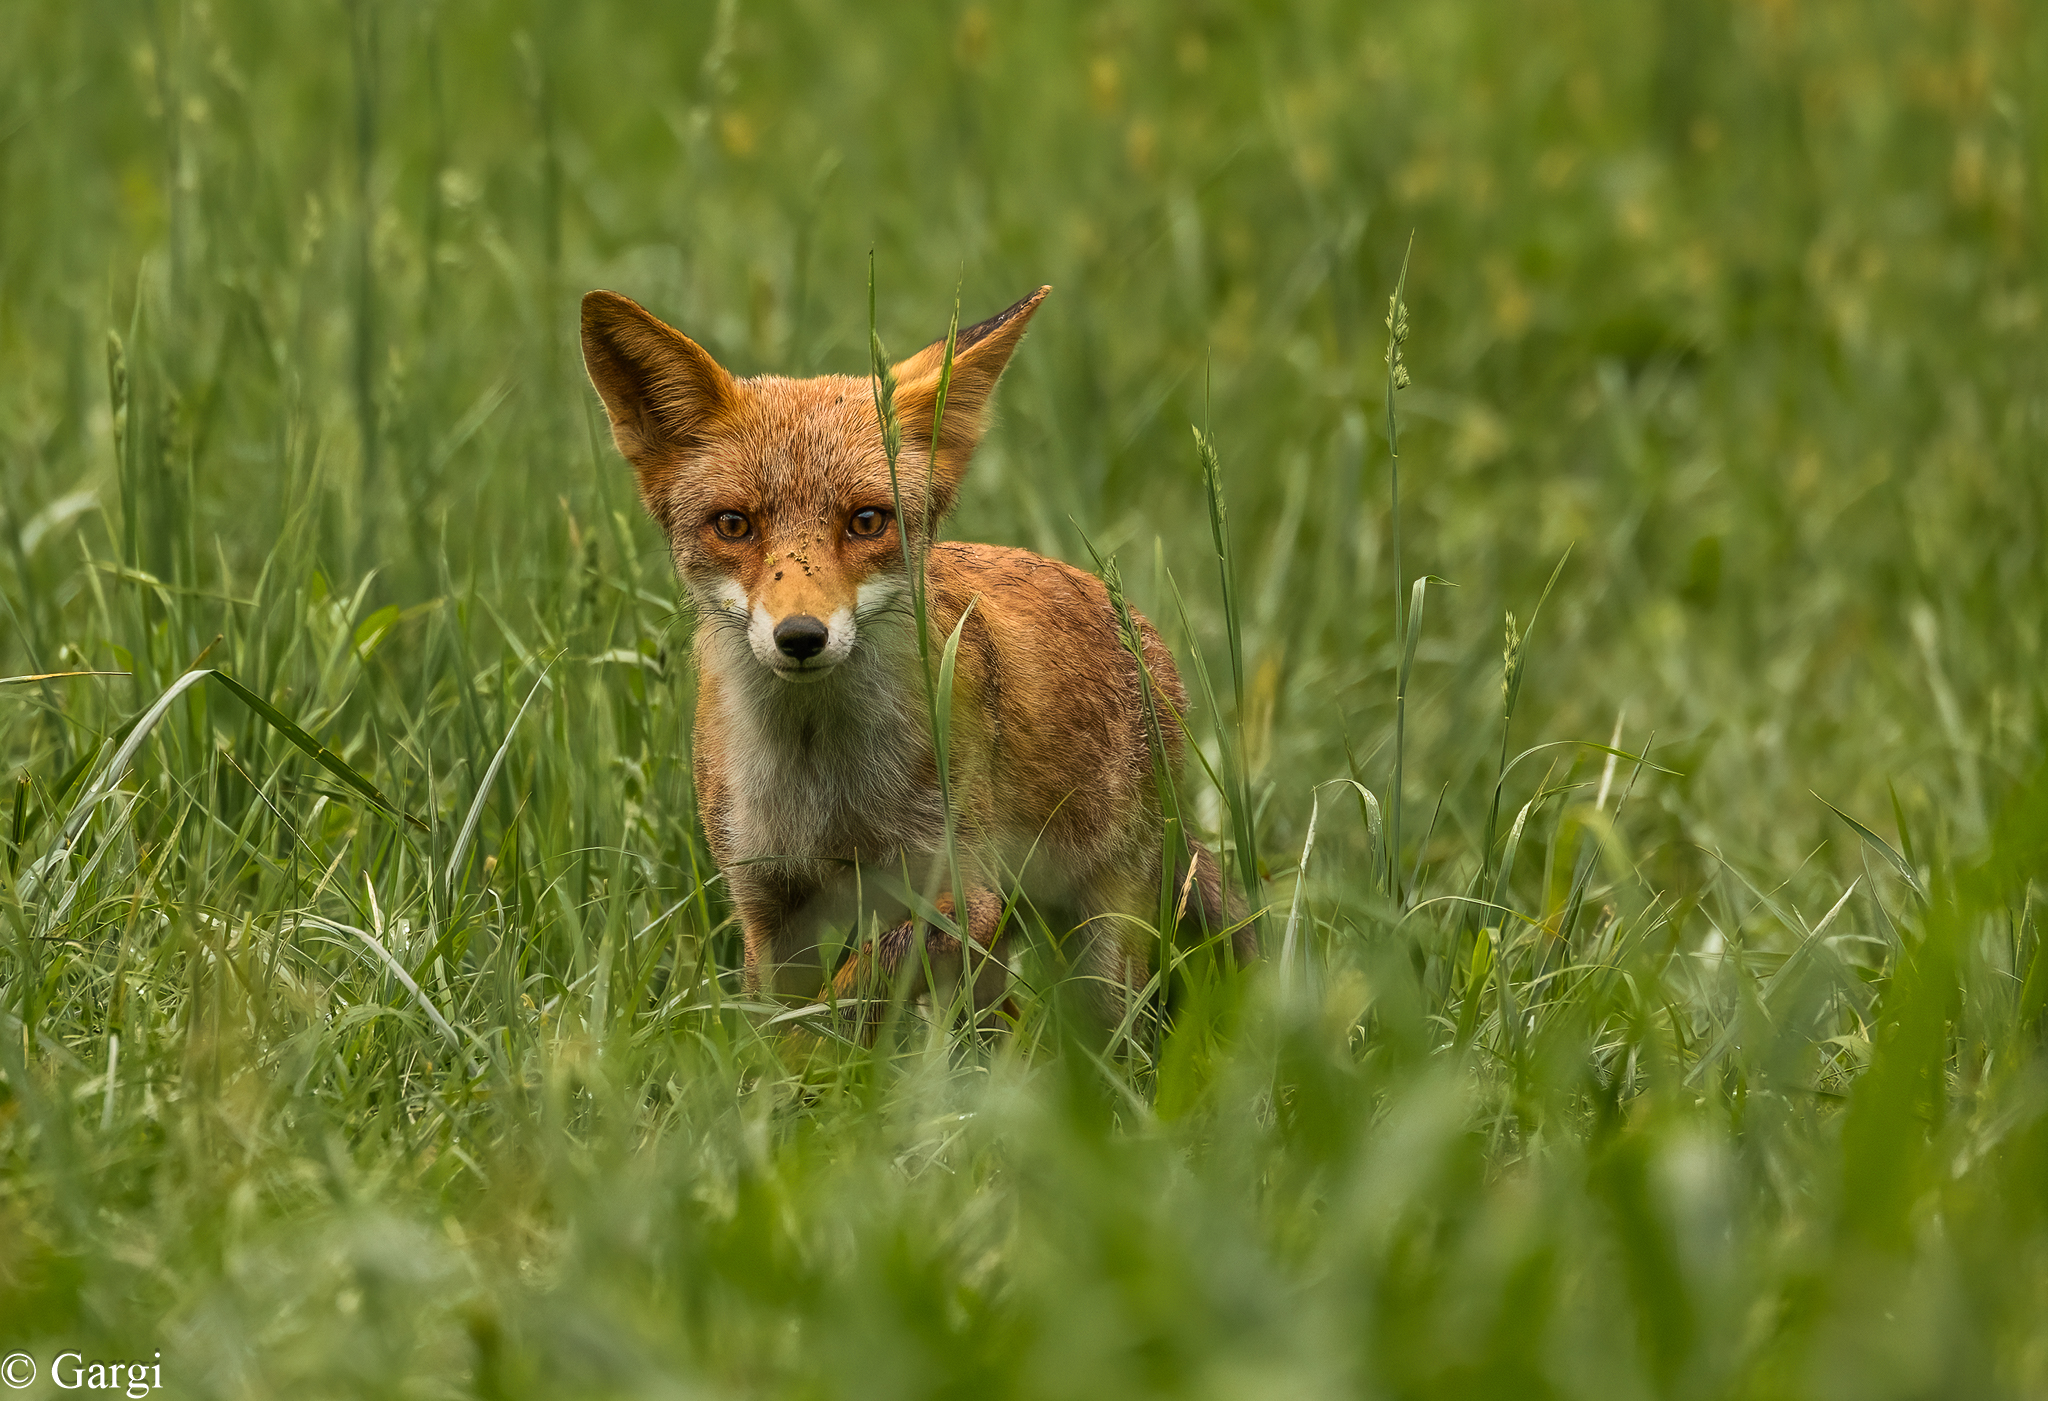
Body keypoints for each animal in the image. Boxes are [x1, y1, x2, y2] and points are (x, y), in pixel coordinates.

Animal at [579, 284, 1252, 1025]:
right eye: (733, 525)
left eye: (867, 521)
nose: (801, 636)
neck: (823, 789)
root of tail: (1128, 615)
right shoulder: (768, 901)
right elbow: (786, 1021)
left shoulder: (958, 894)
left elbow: (836, 1006)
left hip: (1097, 943)